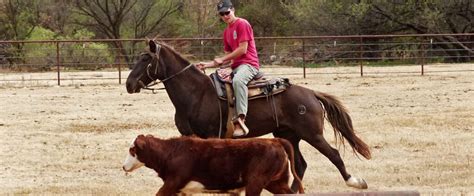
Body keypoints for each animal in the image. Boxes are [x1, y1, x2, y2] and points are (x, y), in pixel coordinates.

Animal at [122, 135, 306, 196]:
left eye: (132, 150)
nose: (123, 167)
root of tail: (275, 140)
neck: (171, 152)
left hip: (256, 183)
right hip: (276, 182)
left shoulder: (171, 184)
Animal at [128, 39, 372, 191]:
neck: (196, 93)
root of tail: (311, 93)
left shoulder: (211, 136)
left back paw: (355, 181)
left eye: (145, 59)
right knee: (300, 164)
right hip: (289, 135)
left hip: (312, 134)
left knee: (333, 155)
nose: (129, 84)